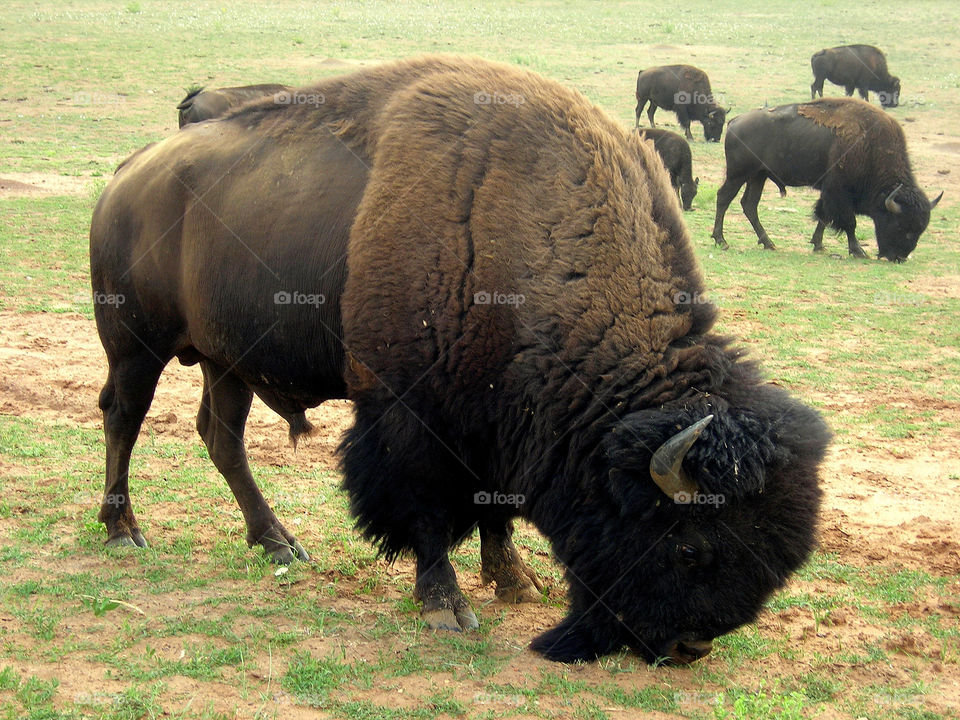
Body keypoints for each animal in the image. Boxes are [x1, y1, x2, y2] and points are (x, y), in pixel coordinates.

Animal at [90, 54, 828, 664]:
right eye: (690, 544)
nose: (688, 646)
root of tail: (127, 175)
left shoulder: (496, 418)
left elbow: (494, 507)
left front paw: (516, 582)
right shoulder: (410, 412)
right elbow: (426, 507)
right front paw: (447, 606)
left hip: (226, 361)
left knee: (222, 437)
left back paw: (278, 542)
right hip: (137, 346)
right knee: (123, 418)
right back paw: (125, 532)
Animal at [708, 97, 940, 262]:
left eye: (920, 229)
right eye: (901, 226)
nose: (898, 257)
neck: (871, 147)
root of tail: (735, 121)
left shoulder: (830, 193)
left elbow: (823, 216)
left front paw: (818, 244)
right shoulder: (839, 192)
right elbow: (848, 222)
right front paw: (858, 251)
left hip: (758, 176)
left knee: (749, 204)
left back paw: (768, 243)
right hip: (739, 174)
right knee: (724, 198)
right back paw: (721, 241)